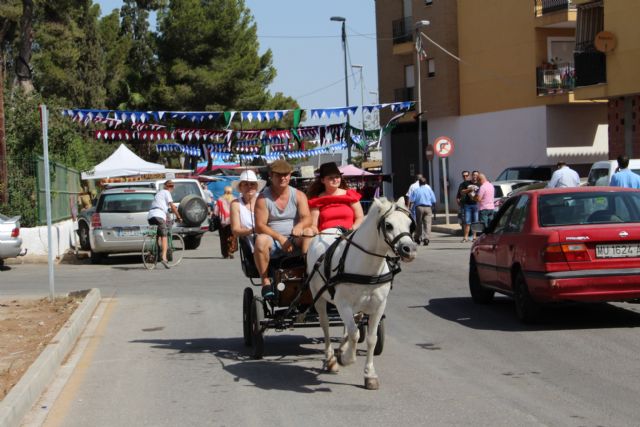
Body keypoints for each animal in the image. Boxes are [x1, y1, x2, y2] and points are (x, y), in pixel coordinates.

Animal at [306, 197, 418, 392]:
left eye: (409, 224)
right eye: (388, 225)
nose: (409, 249)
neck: (367, 267)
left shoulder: (378, 306)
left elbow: (371, 338)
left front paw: (369, 375)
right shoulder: (342, 304)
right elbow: (354, 334)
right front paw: (346, 359)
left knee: (353, 323)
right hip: (319, 298)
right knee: (326, 325)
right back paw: (331, 358)